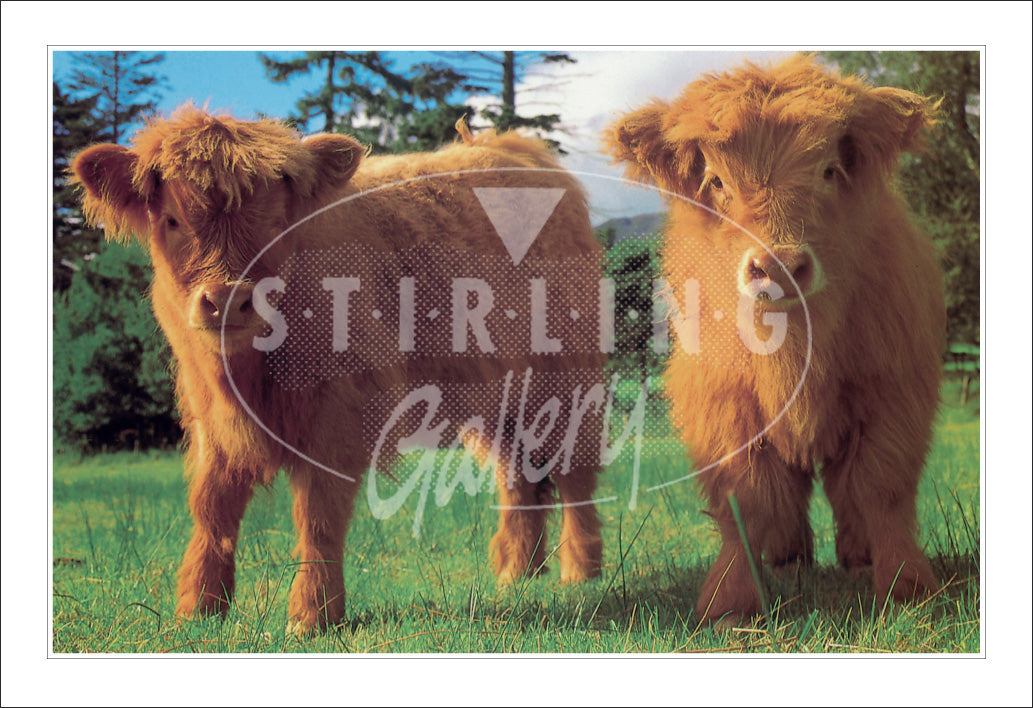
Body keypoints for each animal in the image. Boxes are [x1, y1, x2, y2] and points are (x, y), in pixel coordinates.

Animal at [72, 106, 606, 632]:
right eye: (171, 220)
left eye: (276, 223)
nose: (227, 300)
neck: (248, 372)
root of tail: (515, 149)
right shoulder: (210, 417)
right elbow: (211, 506)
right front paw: (197, 610)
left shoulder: (338, 413)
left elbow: (318, 514)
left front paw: (311, 615)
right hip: (499, 394)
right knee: (516, 475)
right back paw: (517, 573)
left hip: (568, 377)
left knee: (575, 474)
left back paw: (579, 572)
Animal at [605, 54, 945, 625]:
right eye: (716, 180)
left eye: (828, 170)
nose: (778, 266)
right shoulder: (727, 410)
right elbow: (750, 500)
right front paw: (730, 603)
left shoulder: (891, 394)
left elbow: (880, 488)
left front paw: (906, 585)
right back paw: (788, 560)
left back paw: (855, 558)